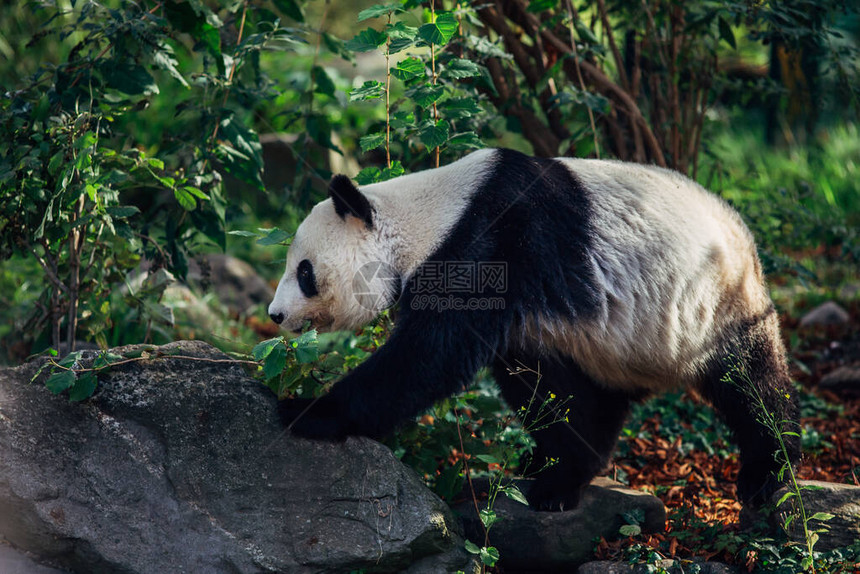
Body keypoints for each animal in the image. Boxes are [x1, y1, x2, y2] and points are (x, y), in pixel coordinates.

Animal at [268, 148, 800, 512]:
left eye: (304, 272)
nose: (275, 315)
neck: (426, 218)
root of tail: (746, 240)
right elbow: (534, 378)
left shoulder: (487, 241)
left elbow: (426, 358)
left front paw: (305, 411)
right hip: (613, 342)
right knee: (591, 393)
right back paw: (561, 468)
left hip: (713, 305)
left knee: (749, 383)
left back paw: (769, 470)